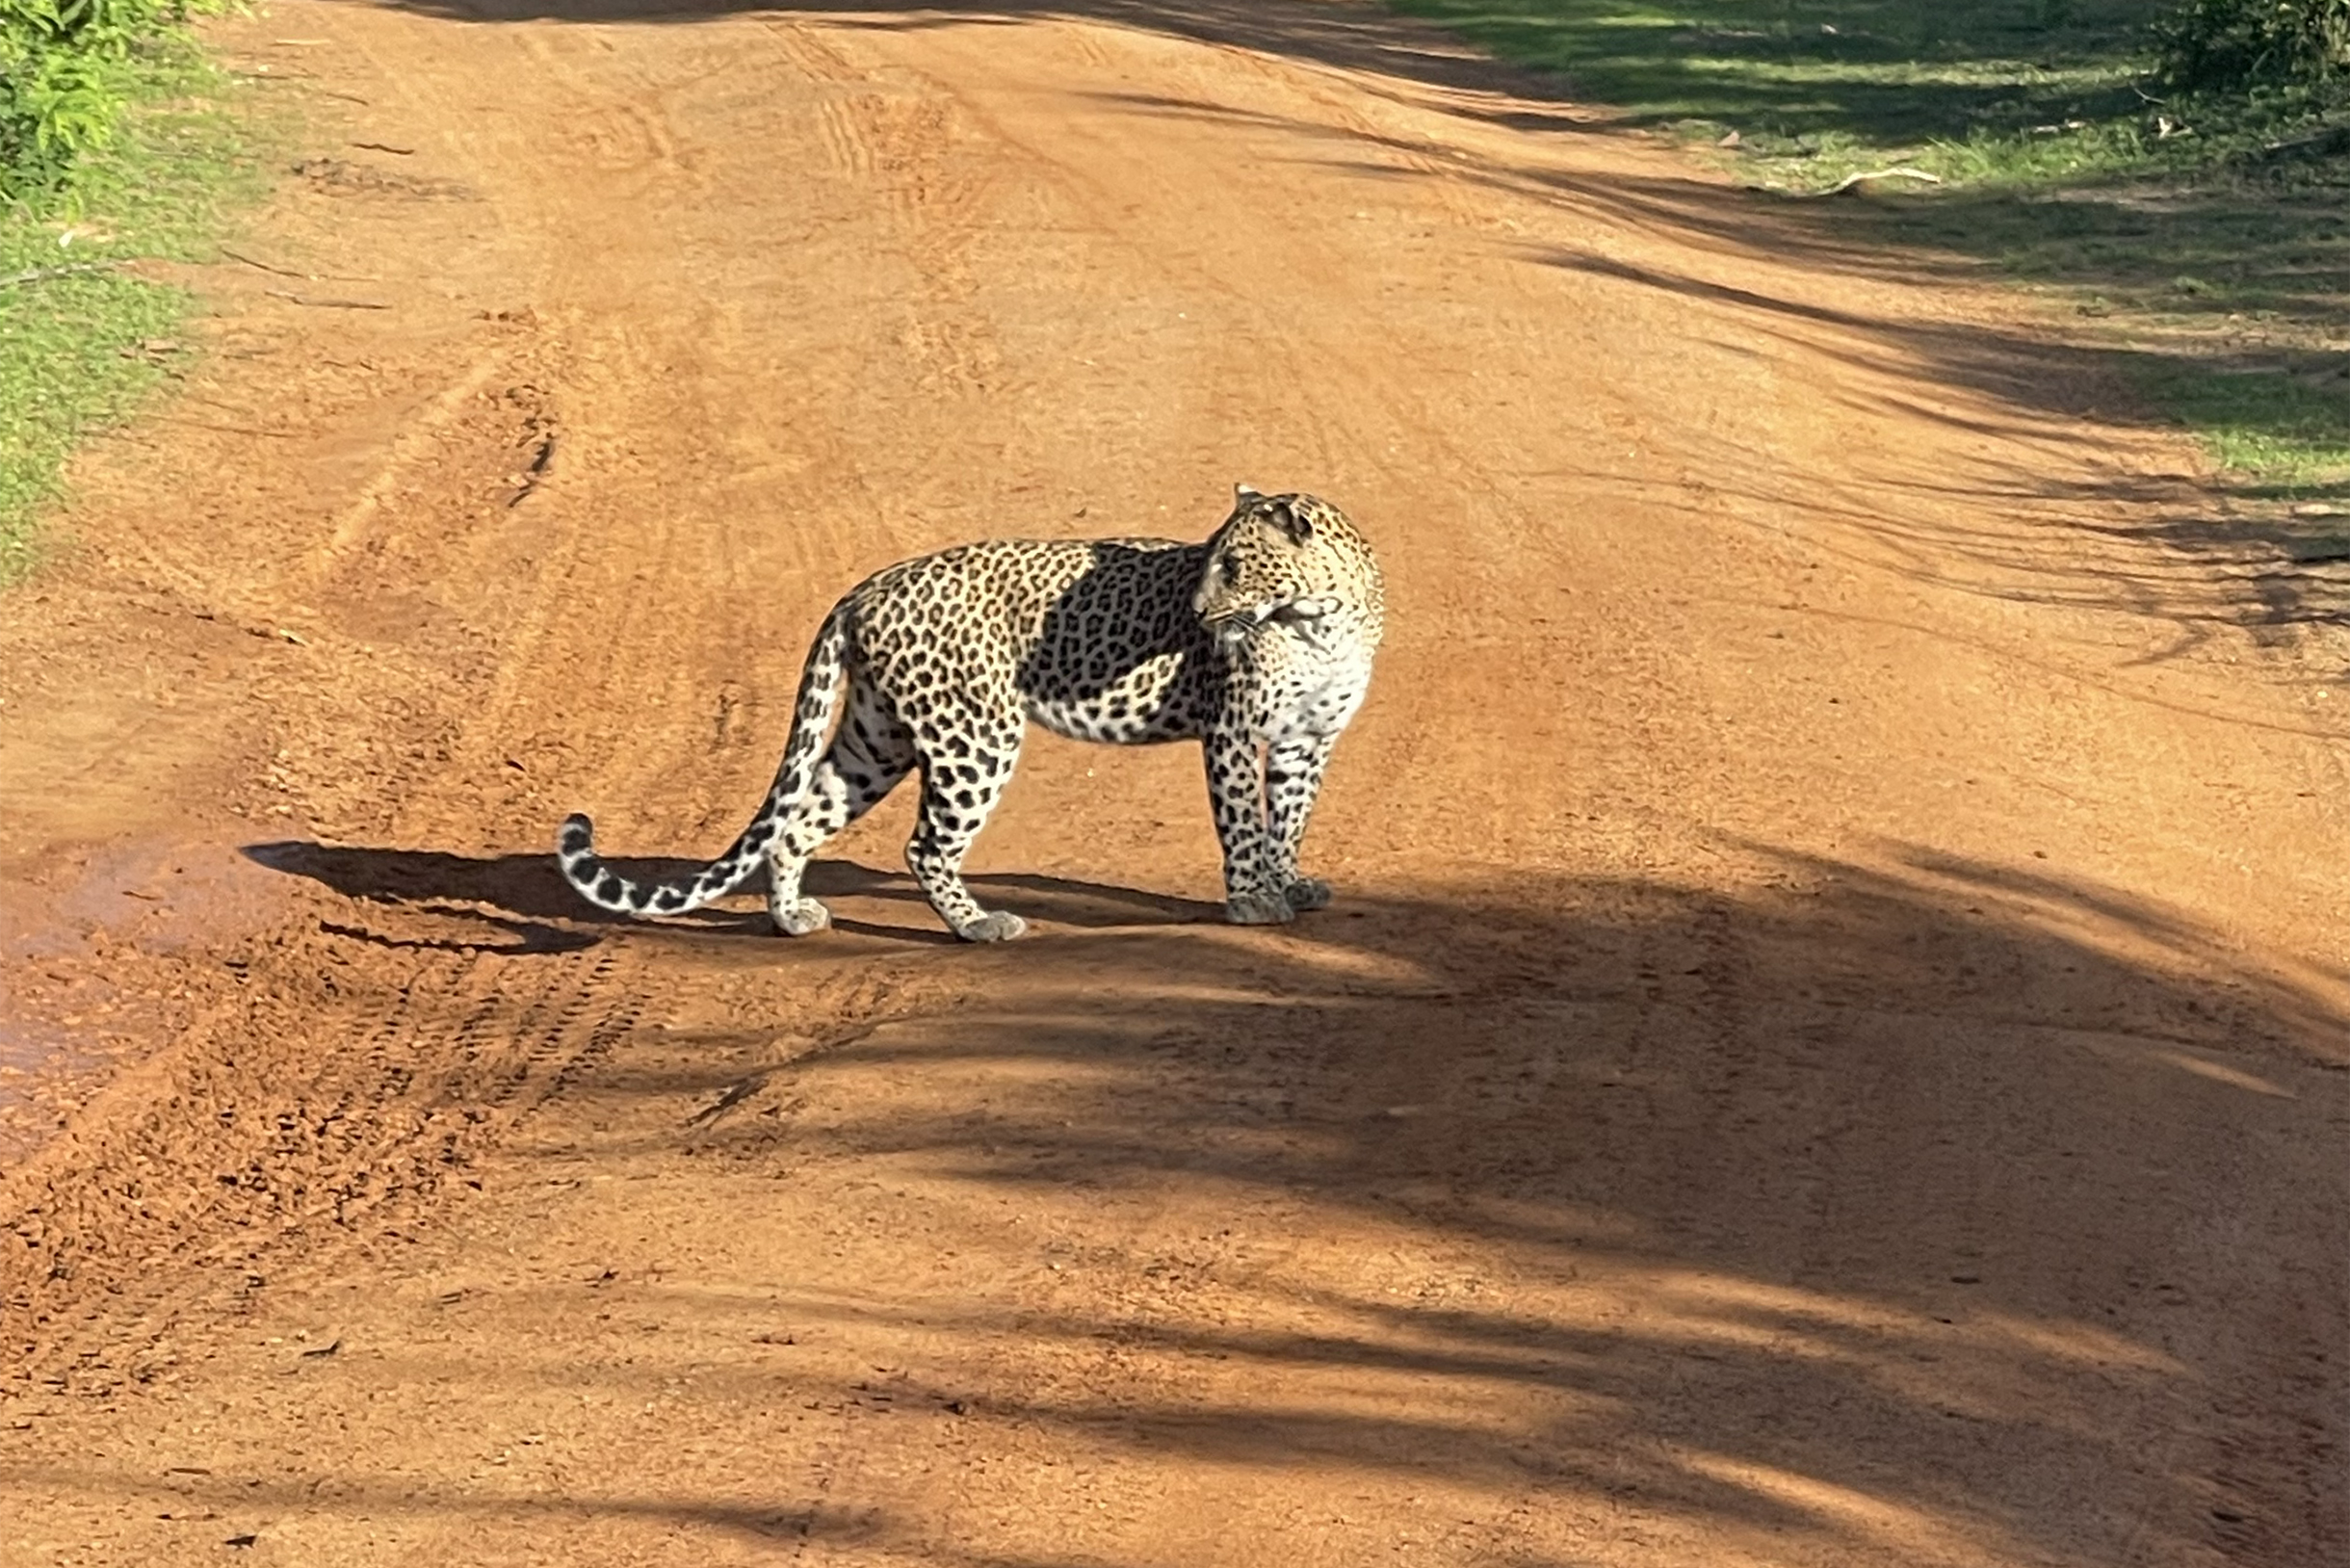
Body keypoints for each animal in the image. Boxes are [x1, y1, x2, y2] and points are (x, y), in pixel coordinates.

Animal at [559, 483, 1381, 940]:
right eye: (1209, 560)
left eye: (1234, 565)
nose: (1199, 612)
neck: (1320, 620)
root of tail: (865, 588)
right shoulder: (1234, 731)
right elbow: (1243, 821)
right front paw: (1252, 900)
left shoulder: (1310, 740)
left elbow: (1290, 818)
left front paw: (1289, 882)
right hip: (975, 735)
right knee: (924, 845)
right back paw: (979, 925)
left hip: (877, 738)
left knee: (797, 822)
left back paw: (791, 918)